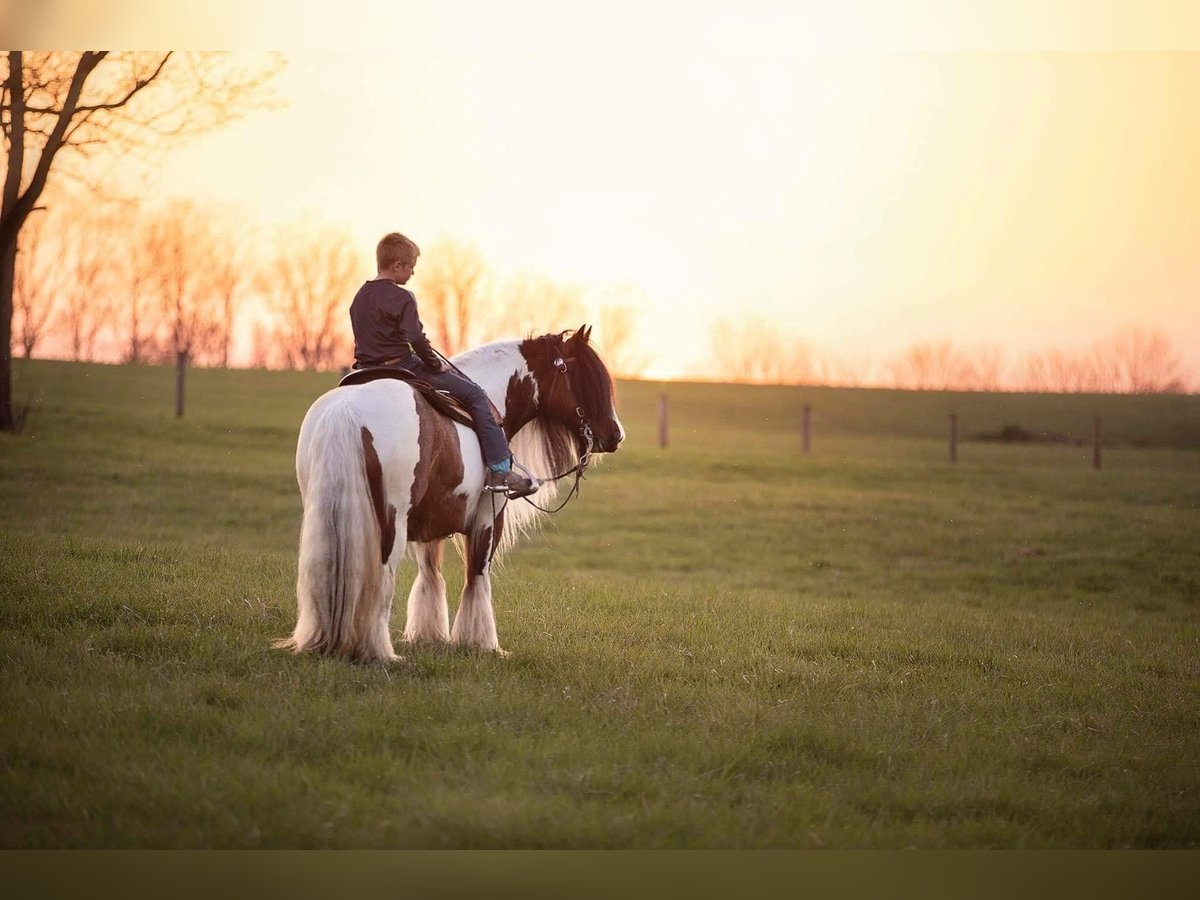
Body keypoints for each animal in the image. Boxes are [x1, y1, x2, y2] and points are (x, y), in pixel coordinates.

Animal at [274, 324, 624, 662]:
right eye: (587, 377)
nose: (616, 435)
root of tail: (347, 411)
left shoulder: (430, 524)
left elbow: (430, 575)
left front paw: (429, 636)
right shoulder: (487, 519)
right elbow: (477, 577)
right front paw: (480, 643)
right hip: (391, 526)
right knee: (382, 582)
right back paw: (379, 651)